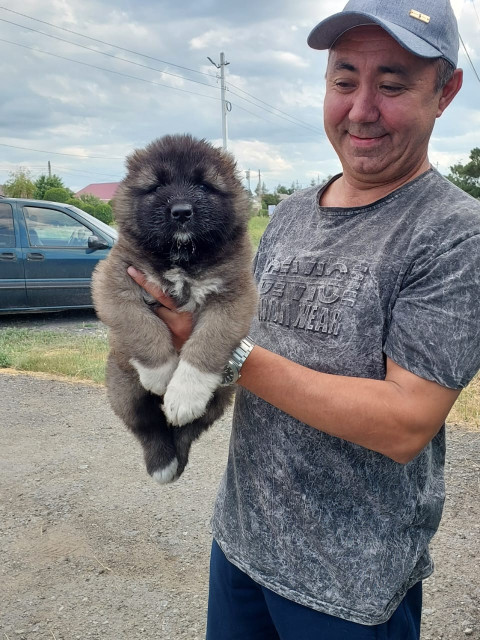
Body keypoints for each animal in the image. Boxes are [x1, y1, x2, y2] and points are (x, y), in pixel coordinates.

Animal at [94, 136, 258, 484]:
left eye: (203, 184)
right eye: (157, 185)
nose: (181, 211)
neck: (181, 258)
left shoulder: (234, 296)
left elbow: (207, 343)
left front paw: (184, 393)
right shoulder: (113, 282)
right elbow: (142, 326)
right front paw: (161, 373)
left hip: (220, 395)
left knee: (186, 431)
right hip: (123, 387)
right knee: (147, 426)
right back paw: (162, 464)